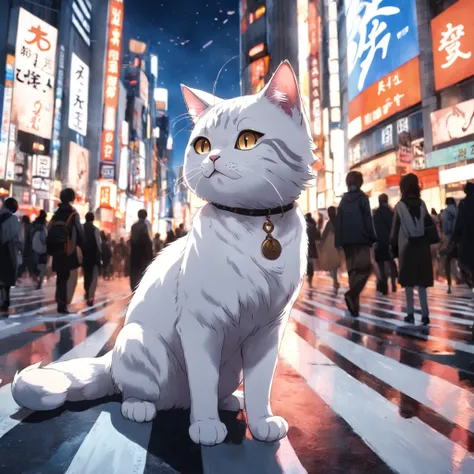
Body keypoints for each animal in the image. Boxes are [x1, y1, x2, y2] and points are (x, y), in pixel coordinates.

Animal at [11, 61, 314, 446]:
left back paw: (231, 400)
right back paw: (142, 408)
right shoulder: (200, 325)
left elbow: (261, 384)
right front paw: (205, 427)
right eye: (201, 144)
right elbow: (203, 381)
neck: (255, 223)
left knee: (212, 390)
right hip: (139, 342)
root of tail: (110, 360)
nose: (211, 157)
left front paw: (262, 424)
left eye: (247, 140)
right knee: (139, 393)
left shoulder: (270, 328)